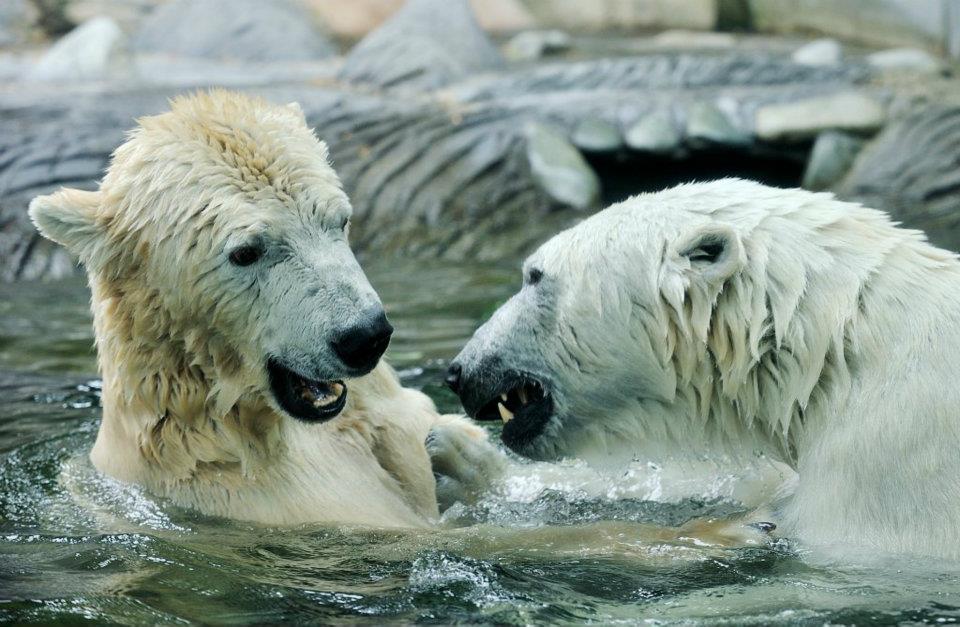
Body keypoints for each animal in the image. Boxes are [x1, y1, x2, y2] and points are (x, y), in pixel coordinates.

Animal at [30, 89, 488, 528]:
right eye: (246, 252)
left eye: (340, 220)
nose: (364, 337)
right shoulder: (258, 497)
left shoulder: (383, 417)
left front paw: (462, 450)